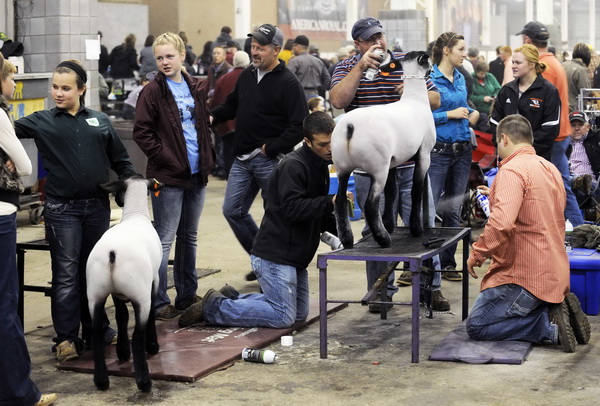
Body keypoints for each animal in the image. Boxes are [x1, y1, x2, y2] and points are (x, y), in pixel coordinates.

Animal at [86, 176, 162, 392]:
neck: (135, 215)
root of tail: (112, 253)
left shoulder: (115, 293)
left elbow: (121, 316)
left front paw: (122, 352)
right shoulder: (155, 280)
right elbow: (151, 313)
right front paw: (152, 346)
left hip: (95, 293)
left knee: (96, 334)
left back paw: (101, 381)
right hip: (140, 294)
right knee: (137, 334)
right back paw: (144, 382)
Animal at [330, 50, 434, 247]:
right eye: (428, 62)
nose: (432, 71)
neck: (415, 98)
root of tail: (349, 126)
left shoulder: (394, 161)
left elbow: (392, 192)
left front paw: (390, 224)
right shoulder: (424, 154)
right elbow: (416, 191)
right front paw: (416, 229)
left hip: (342, 167)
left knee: (339, 200)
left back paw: (347, 239)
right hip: (378, 168)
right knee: (370, 205)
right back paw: (383, 239)